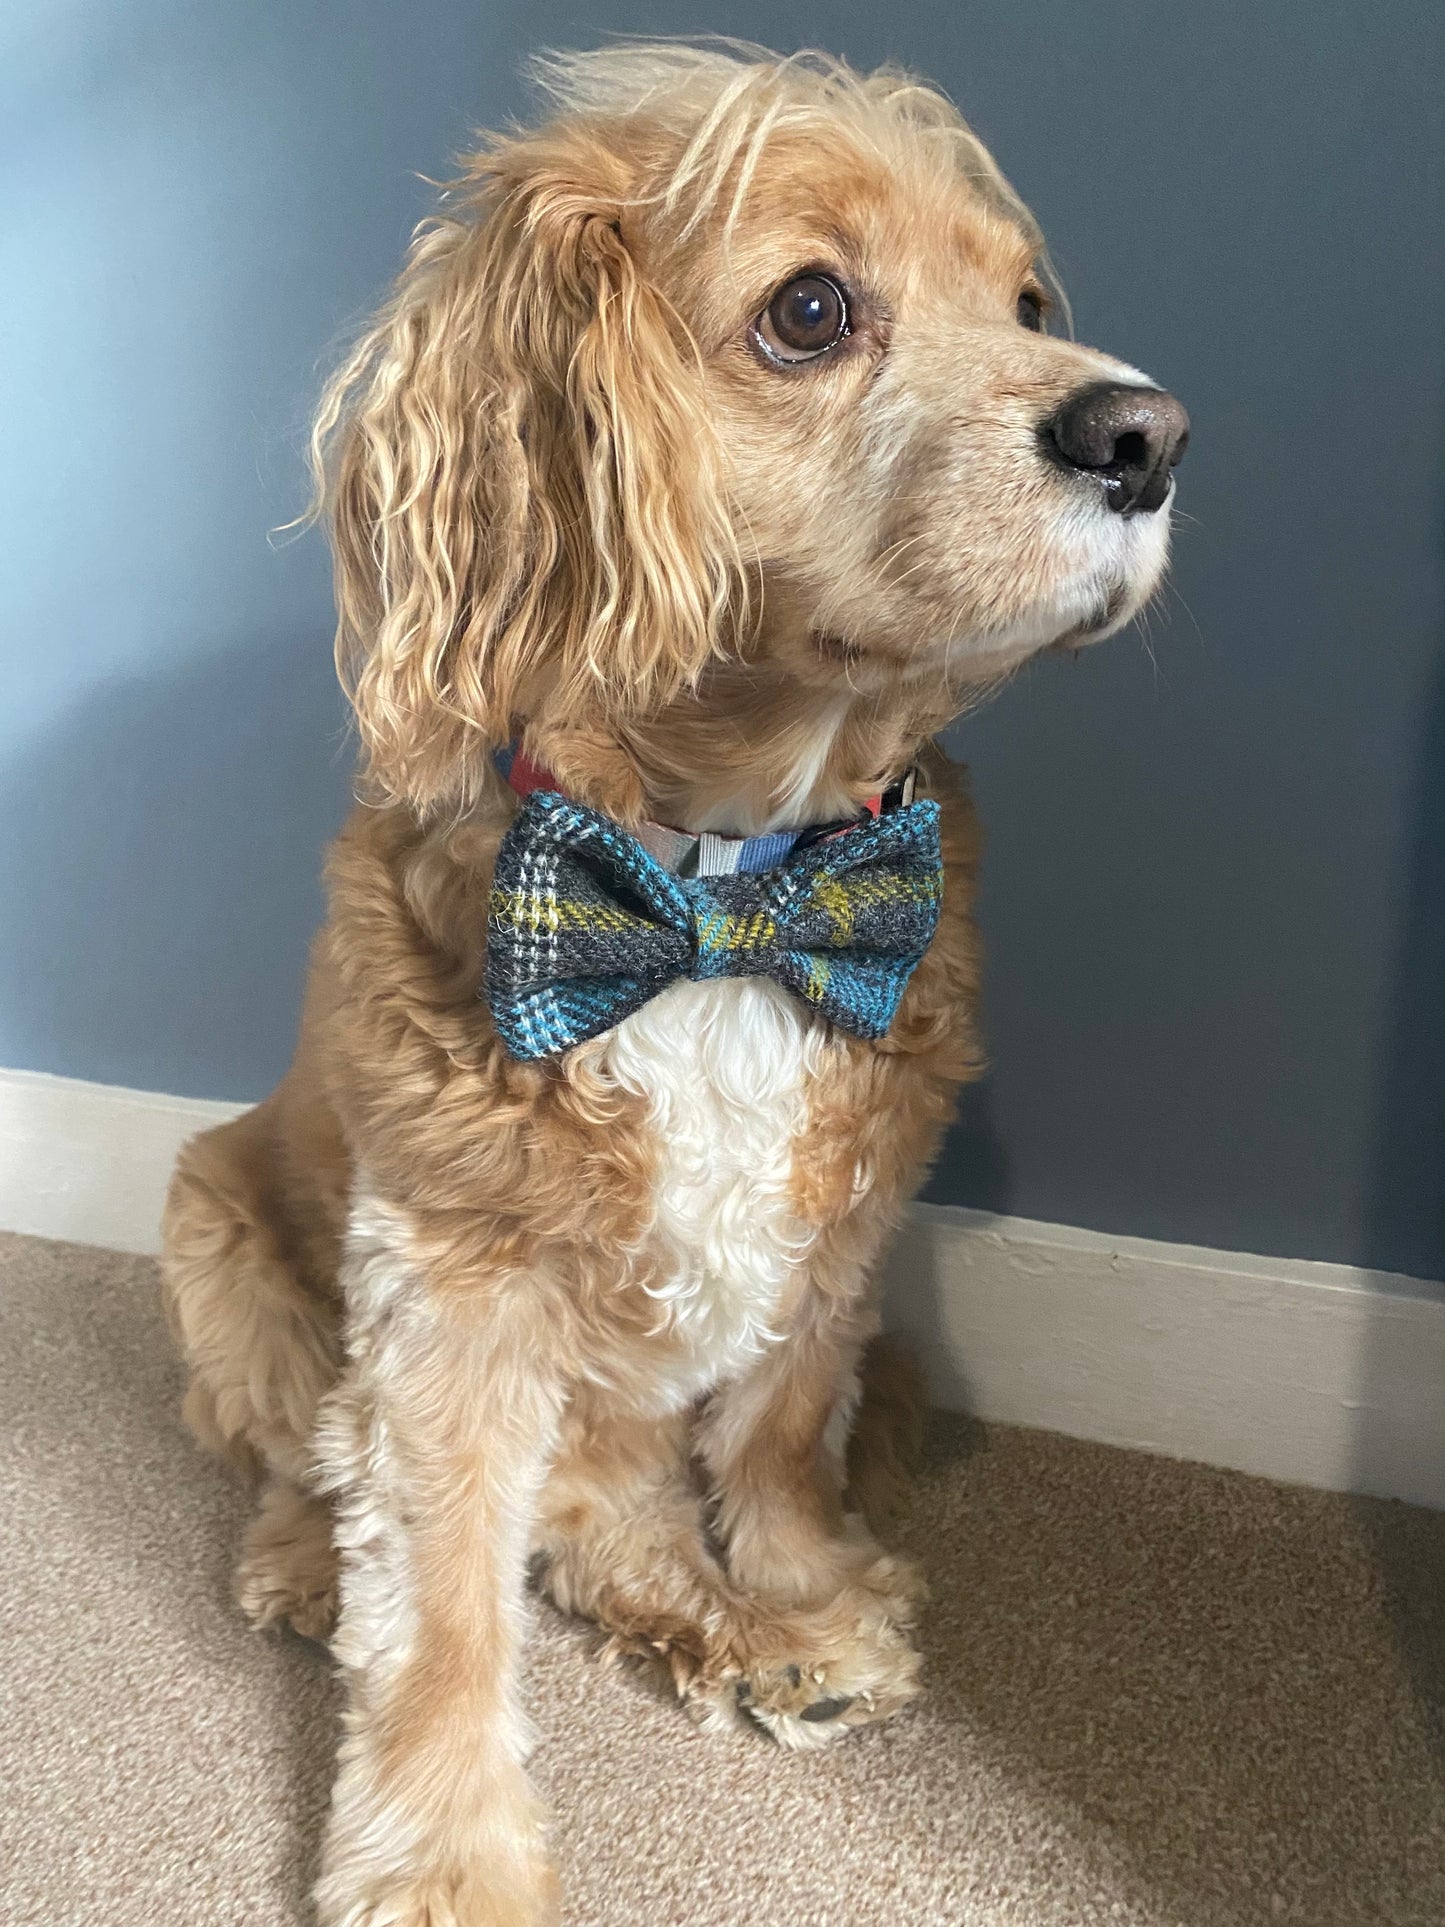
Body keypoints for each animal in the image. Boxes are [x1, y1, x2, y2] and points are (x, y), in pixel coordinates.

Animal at [166, 45, 1186, 1927]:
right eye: (810, 309)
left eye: (1027, 304)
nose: (1145, 433)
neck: (726, 891)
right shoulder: (449, 1285)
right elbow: (440, 1600)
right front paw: (439, 1852)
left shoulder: (845, 1213)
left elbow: (780, 1425)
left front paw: (794, 1583)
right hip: (214, 1224)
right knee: (297, 1454)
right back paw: (302, 1565)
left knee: (613, 1529)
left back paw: (750, 1634)